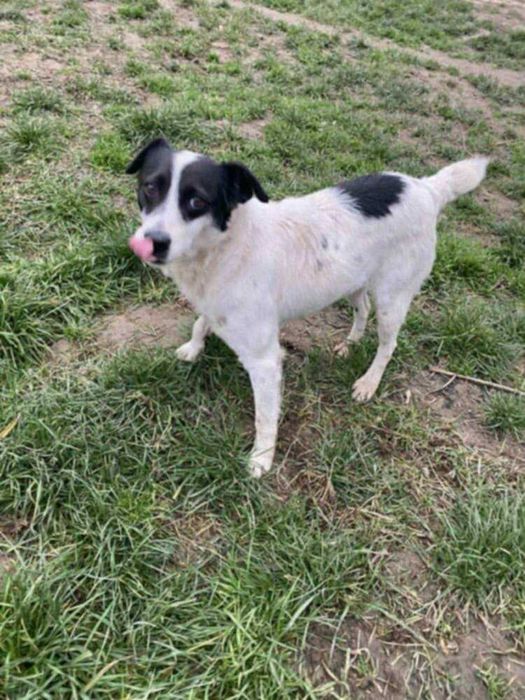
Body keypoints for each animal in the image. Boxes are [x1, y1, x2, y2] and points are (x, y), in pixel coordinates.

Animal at [126, 138, 488, 477]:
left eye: (197, 201)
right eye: (150, 188)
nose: (153, 241)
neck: (225, 247)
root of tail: (426, 188)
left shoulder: (265, 361)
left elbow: (265, 418)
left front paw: (261, 459)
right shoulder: (213, 302)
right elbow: (201, 322)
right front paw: (193, 348)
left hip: (392, 296)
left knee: (389, 343)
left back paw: (368, 383)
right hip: (350, 280)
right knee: (362, 308)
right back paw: (350, 343)